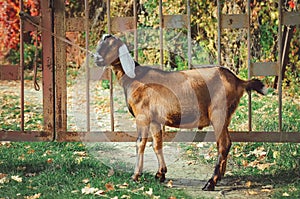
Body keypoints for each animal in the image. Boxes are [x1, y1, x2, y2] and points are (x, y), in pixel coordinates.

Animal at [94, 34, 268, 191]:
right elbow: (157, 144)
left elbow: (140, 143)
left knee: (224, 144)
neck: (134, 77)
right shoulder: (155, 120)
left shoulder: (142, 116)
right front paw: (160, 174)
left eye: (110, 45)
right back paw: (219, 177)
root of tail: (238, 81)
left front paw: (135, 176)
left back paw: (211, 182)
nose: (95, 58)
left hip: (219, 113)